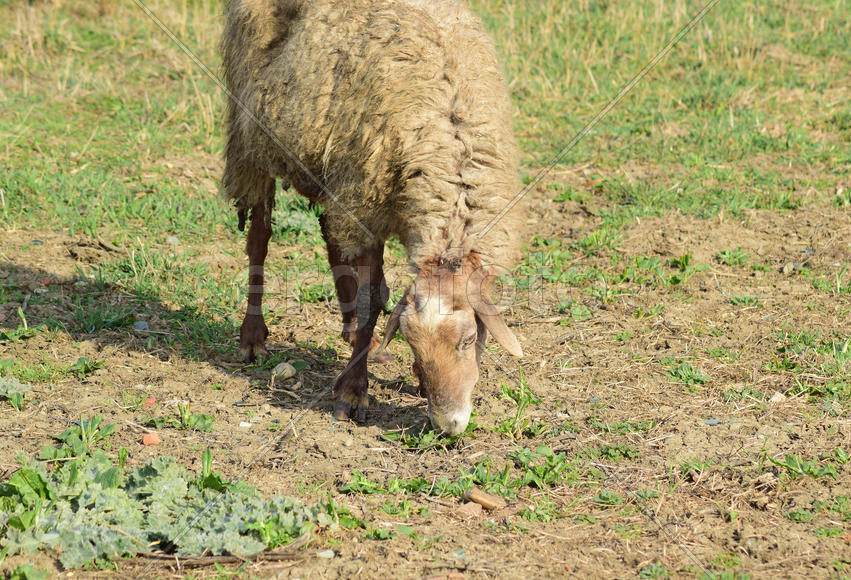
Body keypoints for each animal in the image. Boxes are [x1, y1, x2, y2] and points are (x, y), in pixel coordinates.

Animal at [222, 0, 525, 435]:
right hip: (252, 138)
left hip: (333, 168)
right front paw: (352, 393)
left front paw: (409, 376)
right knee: (259, 239)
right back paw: (253, 338)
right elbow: (370, 303)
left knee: (331, 238)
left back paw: (349, 333)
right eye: (413, 342)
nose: (447, 424)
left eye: (468, 340)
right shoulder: (366, 197)